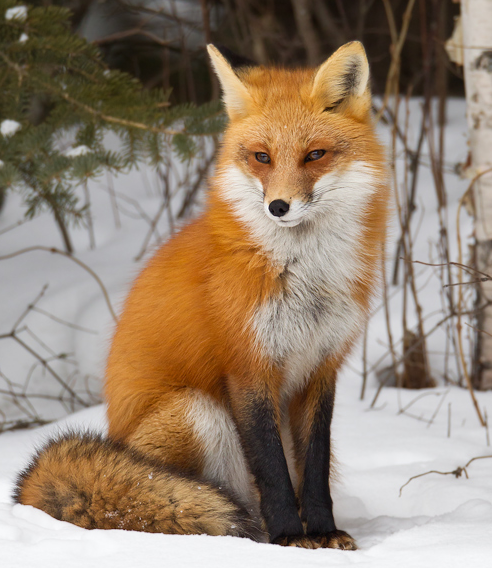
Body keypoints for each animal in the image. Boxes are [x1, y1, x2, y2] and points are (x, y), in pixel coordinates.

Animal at [14, 42, 388, 548]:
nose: (278, 206)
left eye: (315, 155)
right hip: (197, 412)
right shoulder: (247, 366)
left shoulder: (321, 367)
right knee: (202, 500)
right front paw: (290, 540)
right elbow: (272, 471)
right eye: (261, 157)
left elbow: (313, 469)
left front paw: (324, 533)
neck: (302, 274)